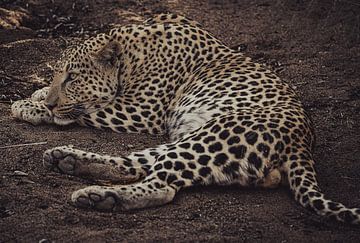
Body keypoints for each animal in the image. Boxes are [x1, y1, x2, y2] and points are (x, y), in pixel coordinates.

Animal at [11, 13, 360, 224]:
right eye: (58, 74)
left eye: (72, 78)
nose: (52, 100)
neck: (130, 51)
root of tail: (304, 141)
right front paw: (39, 95)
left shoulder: (142, 110)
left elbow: (88, 110)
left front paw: (30, 106)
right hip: (194, 140)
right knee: (136, 163)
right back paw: (66, 160)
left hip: (215, 136)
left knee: (163, 185)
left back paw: (99, 196)